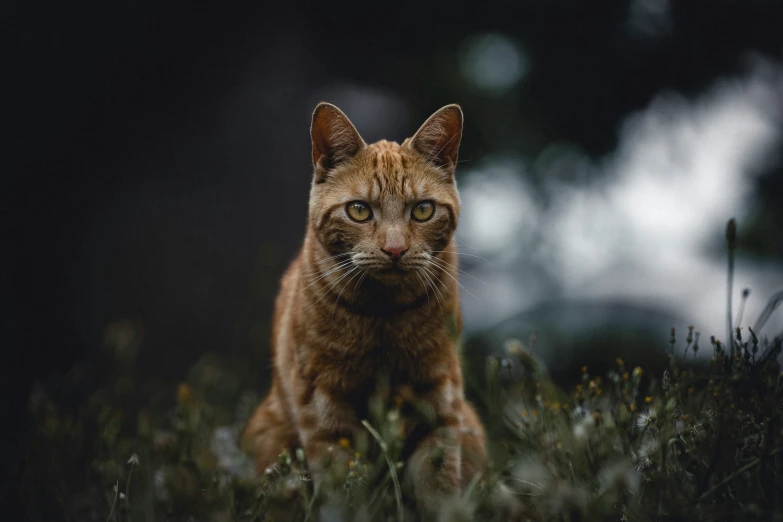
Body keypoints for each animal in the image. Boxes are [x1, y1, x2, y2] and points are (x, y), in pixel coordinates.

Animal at [242, 100, 490, 512]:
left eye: (422, 210)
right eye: (359, 210)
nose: (395, 249)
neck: (382, 319)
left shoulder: (438, 404)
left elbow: (438, 489)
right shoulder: (324, 412)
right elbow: (344, 495)